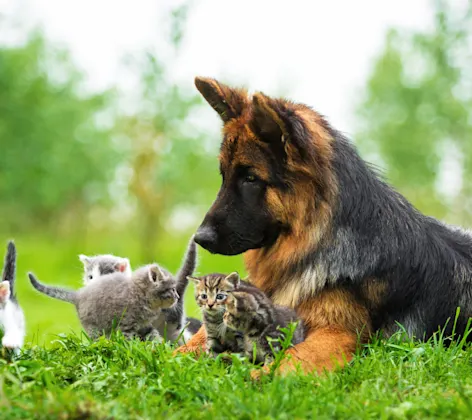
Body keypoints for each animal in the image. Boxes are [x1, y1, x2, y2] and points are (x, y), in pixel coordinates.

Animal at [28, 266, 179, 342]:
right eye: (172, 289)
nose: (177, 296)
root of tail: (79, 295)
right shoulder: (126, 325)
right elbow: (129, 342)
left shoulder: (144, 326)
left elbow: (154, 336)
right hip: (94, 327)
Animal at [175, 76, 472, 374]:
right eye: (224, 176)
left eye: (250, 178)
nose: (200, 238)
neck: (312, 243)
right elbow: (189, 345)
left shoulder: (338, 333)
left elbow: (292, 358)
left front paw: (260, 375)